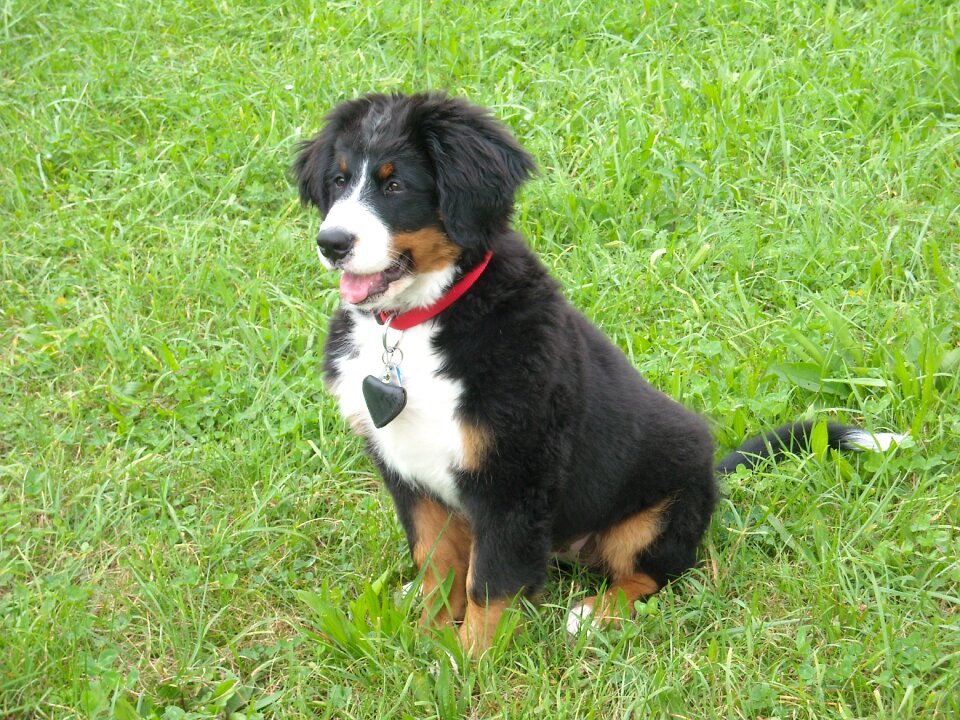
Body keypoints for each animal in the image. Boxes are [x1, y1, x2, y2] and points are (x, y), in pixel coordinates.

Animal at [290, 91, 900, 660]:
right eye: (339, 181)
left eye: (395, 186)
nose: (331, 243)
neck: (415, 323)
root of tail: (711, 468)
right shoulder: (409, 473)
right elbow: (438, 565)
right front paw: (427, 637)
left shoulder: (513, 476)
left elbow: (489, 581)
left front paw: (470, 662)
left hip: (657, 512)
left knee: (659, 571)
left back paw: (594, 614)